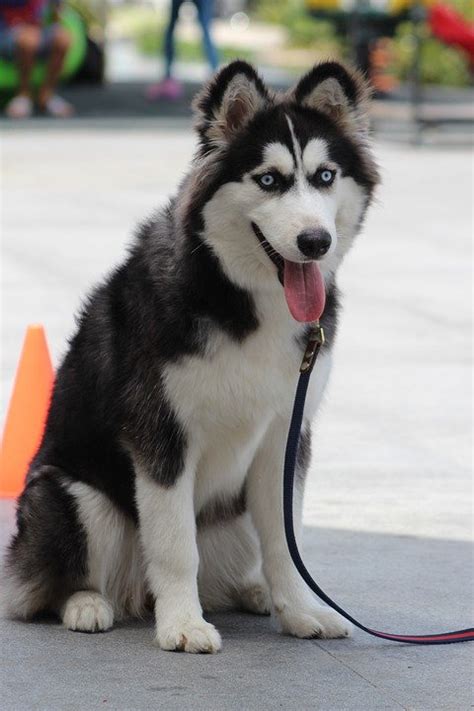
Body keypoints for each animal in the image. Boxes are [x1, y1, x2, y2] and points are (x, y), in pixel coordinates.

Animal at [3, 61, 380, 656]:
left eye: (324, 176)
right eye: (268, 180)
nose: (315, 241)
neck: (244, 297)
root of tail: (135, 592)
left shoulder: (286, 434)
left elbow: (286, 542)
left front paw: (300, 611)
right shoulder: (161, 434)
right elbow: (177, 544)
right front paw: (181, 624)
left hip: (234, 515)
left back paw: (255, 593)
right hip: (69, 495)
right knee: (47, 586)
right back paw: (87, 604)